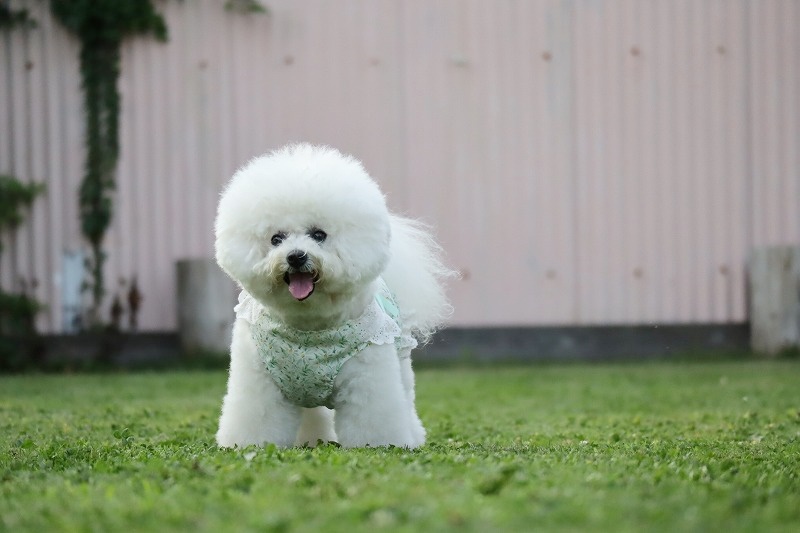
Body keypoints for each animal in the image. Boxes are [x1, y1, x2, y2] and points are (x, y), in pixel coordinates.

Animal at [214, 144, 452, 448]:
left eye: (319, 235)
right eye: (276, 239)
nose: (296, 256)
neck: (309, 328)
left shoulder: (367, 378)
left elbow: (374, 418)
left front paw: (380, 445)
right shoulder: (258, 380)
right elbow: (258, 418)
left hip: (400, 364)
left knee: (406, 399)